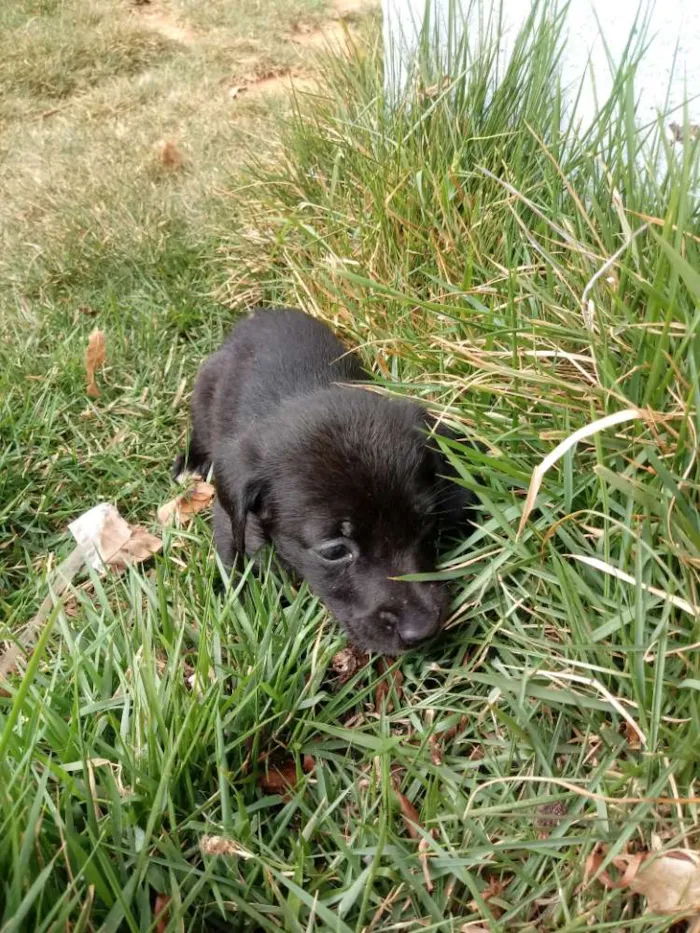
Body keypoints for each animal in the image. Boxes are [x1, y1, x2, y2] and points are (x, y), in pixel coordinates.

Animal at [174, 310, 470, 652]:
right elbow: (232, 565)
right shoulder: (230, 519)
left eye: (425, 523)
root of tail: (262, 314)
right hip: (204, 389)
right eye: (333, 551)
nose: (423, 630)